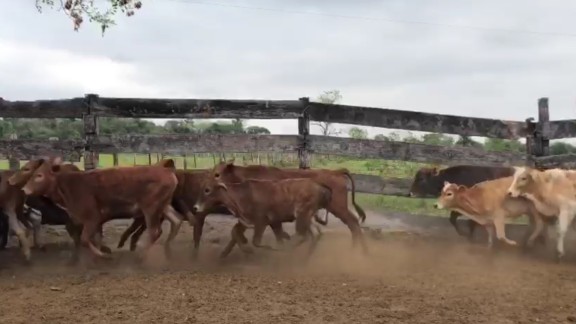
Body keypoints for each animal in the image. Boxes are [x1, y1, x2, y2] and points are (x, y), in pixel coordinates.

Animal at [18, 159, 179, 260]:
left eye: (39, 175)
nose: (24, 190)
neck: (69, 185)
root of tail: (168, 173)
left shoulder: (92, 217)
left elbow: (85, 239)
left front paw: (104, 256)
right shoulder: (95, 221)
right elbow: (96, 238)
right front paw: (103, 250)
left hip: (151, 208)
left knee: (155, 231)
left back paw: (141, 255)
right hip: (164, 206)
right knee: (176, 221)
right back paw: (169, 247)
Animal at [207, 161, 368, 254]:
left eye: (217, 174)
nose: (206, 188)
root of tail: (336, 171)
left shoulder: (264, 217)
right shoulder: (249, 217)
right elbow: (235, 232)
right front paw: (225, 254)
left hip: (338, 207)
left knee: (353, 223)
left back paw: (357, 251)